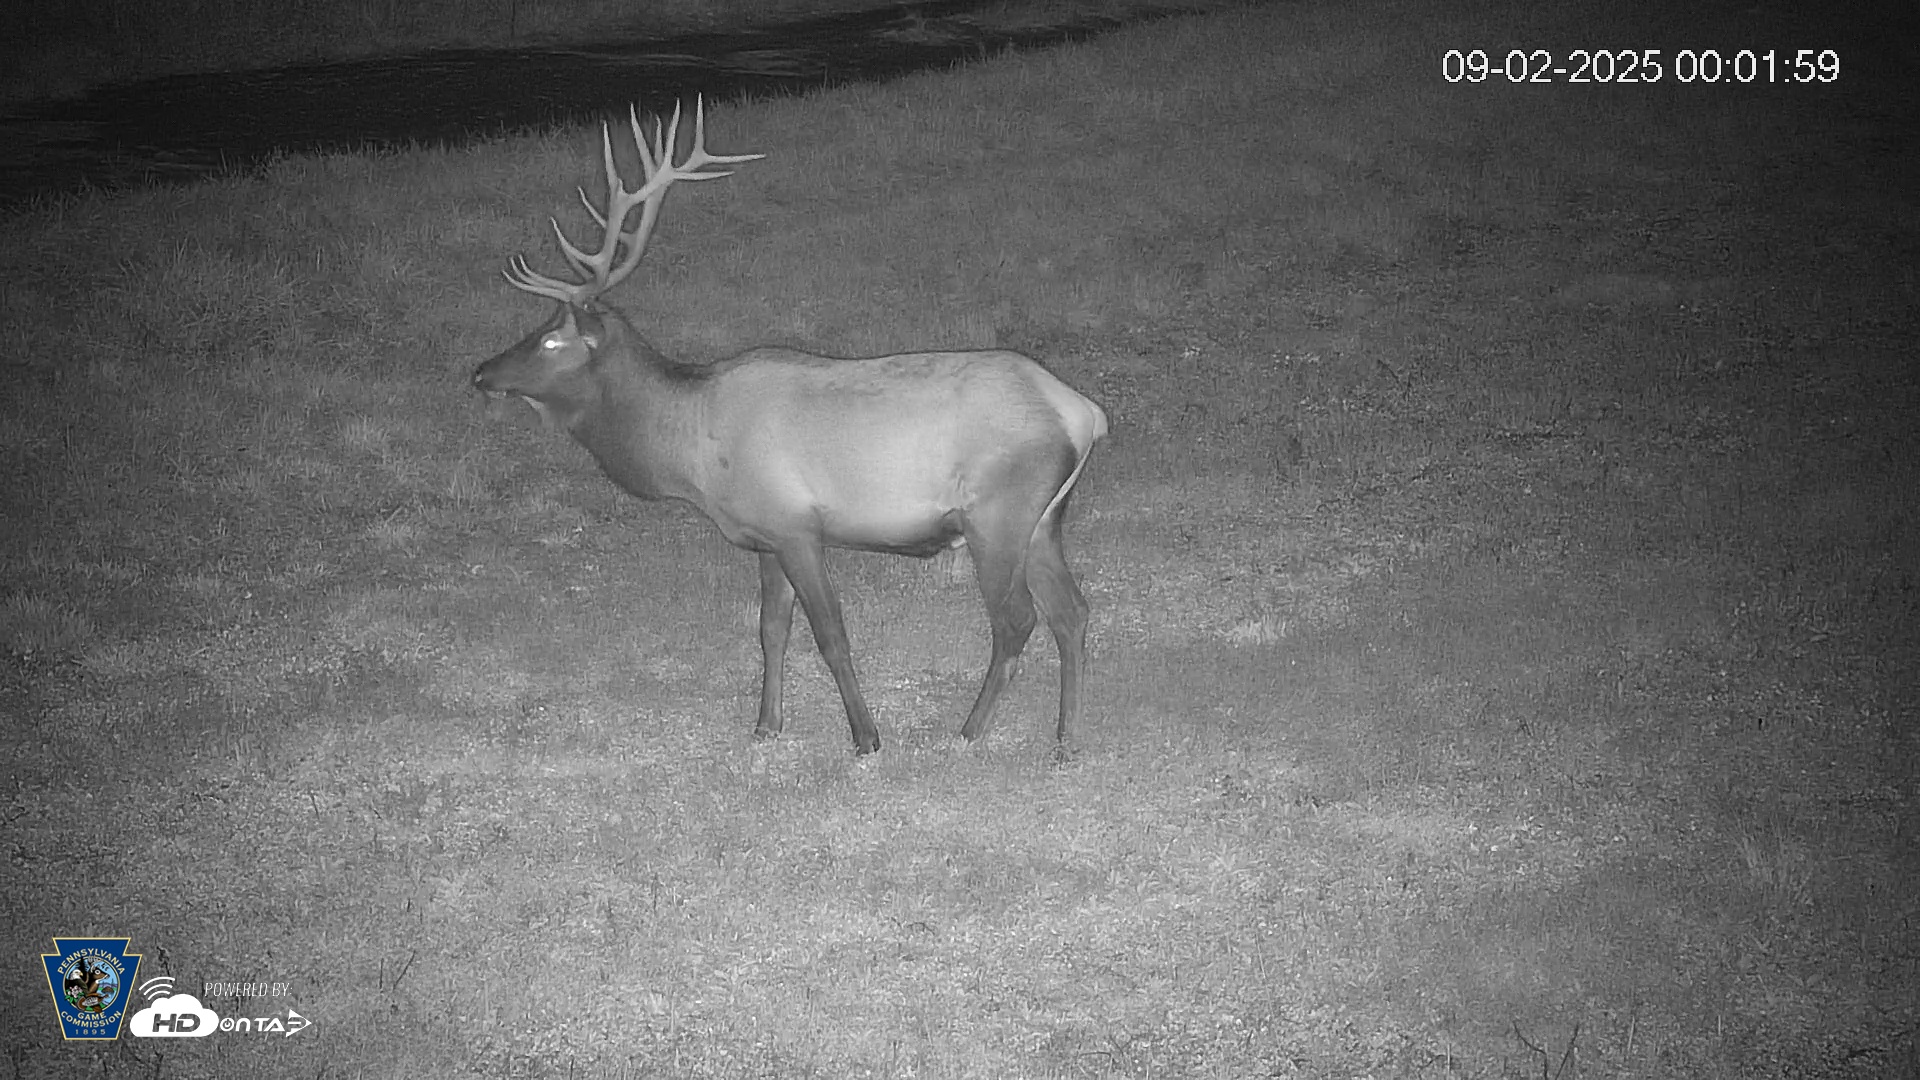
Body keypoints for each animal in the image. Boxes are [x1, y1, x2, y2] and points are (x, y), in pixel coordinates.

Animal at [471, 99, 1108, 757]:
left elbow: (831, 636)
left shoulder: (797, 526)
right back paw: (1066, 739)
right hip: (1043, 521)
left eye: (551, 340)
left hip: (998, 516)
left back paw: (970, 731)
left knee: (1017, 621)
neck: (690, 455)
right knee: (1073, 612)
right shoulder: (765, 536)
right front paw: (766, 723)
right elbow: (771, 629)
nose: (481, 373)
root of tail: (1084, 412)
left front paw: (866, 737)